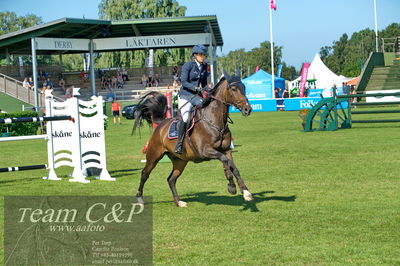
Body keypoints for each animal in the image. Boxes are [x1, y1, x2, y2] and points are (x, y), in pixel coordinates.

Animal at [134, 71, 253, 208]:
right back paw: (140, 199)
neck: (214, 122)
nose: (248, 109)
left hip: (180, 161)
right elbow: (224, 160)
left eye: (244, 87)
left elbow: (234, 168)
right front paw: (231, 186)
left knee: (171, 179)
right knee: (145, 174)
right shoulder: (205, 151)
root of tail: (160, 124)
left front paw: (246, 192)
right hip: (154, 156)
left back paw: (179, 202)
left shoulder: (227, 150)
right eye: (233, 89)